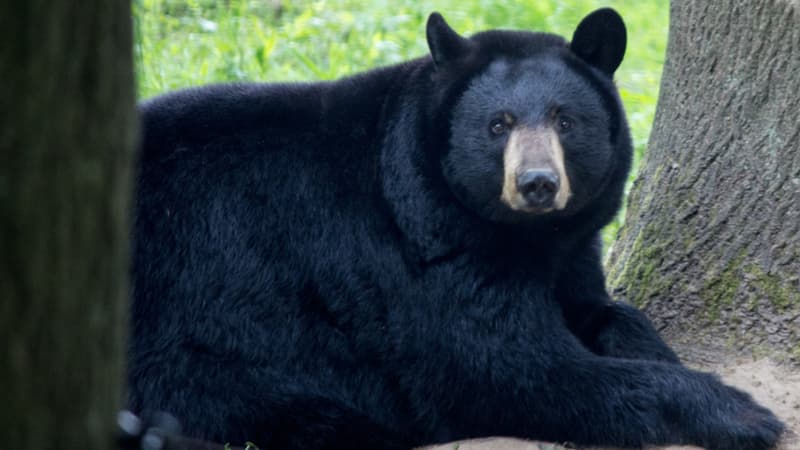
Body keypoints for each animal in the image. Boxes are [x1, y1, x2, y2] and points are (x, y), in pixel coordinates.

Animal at [131, 7, 780, 450]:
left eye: (565, 120)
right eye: (499, 124)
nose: (538, 183)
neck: (522, 234)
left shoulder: (571, 244)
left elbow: (598, 308)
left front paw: (659, 350)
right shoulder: (422, 251)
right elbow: (504, 366)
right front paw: (745, 412)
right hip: (184, 334)